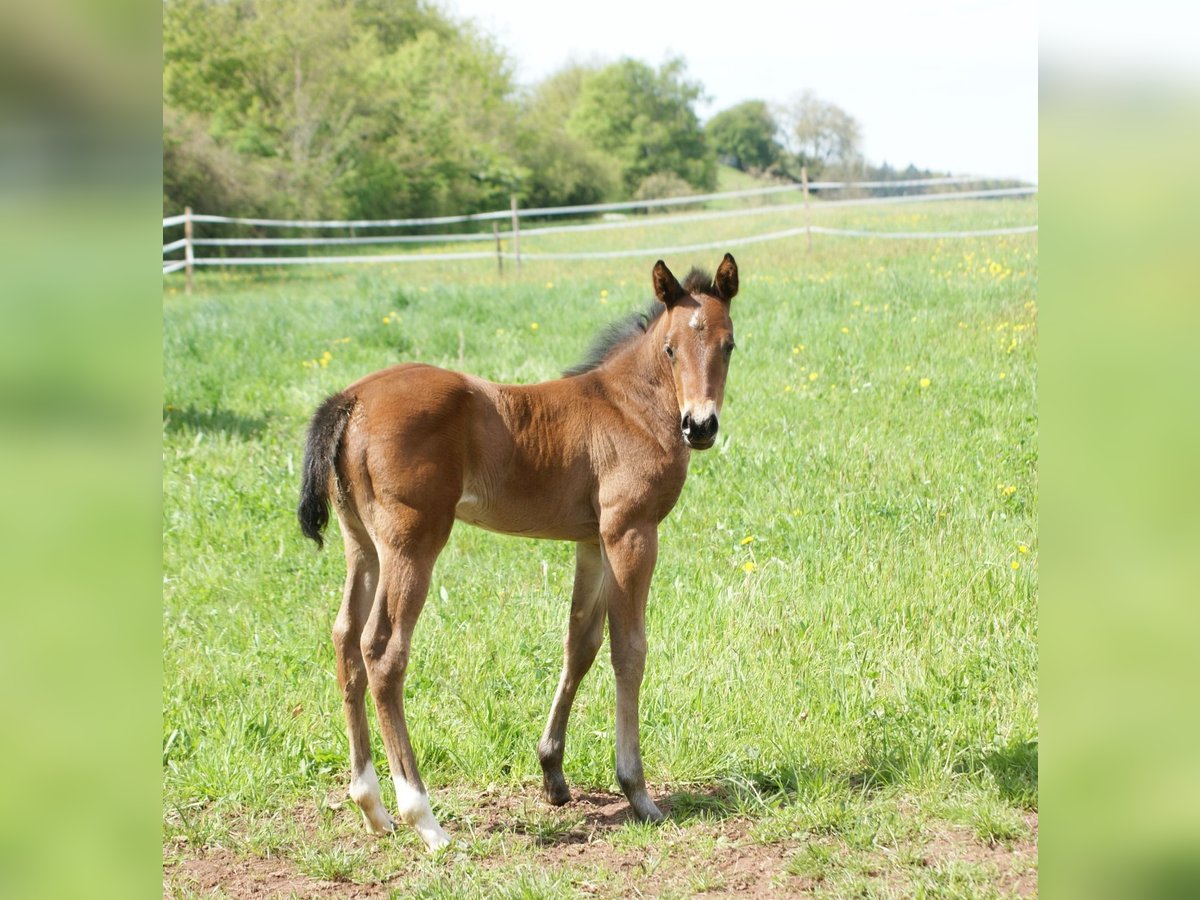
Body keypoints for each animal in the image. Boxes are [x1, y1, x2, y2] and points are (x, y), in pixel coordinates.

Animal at [297, 254, 739, 851]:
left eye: (728, 344)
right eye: (670, 349)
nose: (700, 426)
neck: (629, 407)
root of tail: (351, 399)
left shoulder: (591, 541)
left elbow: (580, 643)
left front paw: (553, 773)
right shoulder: (631, 532)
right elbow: (629, 649)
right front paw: (638, 792)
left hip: (361, 545)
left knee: (345, 638)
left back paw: (372, 807)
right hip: (411, 544)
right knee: (382, 651)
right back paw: (423, 818)